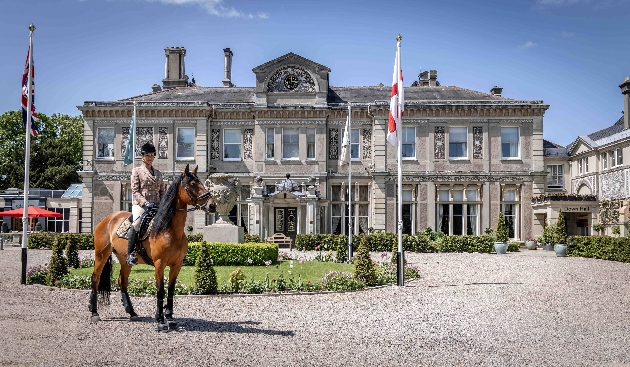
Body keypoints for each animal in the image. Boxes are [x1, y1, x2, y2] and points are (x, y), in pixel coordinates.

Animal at [87, 165, 217, 332]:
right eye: (193, 184)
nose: (212, 205)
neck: (169, 229)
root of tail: (108, 218)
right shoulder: (159, 264)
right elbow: (160, 290)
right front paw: (160, 320)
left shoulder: (176, 265)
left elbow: (170, 290)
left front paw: (170, 318)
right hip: (101, 255)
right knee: (95, 279)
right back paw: (94, 312)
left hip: (125, 260)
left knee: (122, 282)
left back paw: (132, 312)